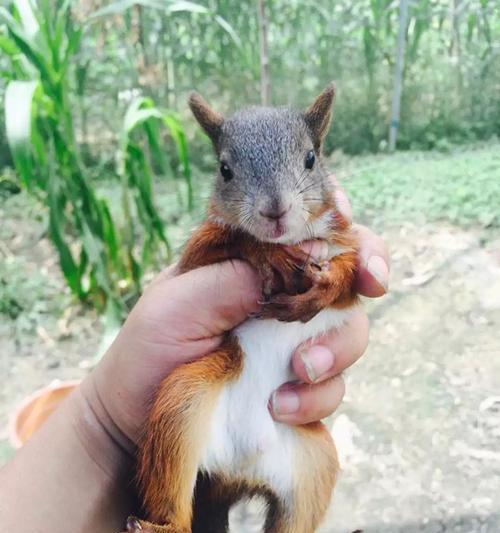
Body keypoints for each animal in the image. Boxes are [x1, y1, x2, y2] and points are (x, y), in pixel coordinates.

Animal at [124, 83, 360, 532]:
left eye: (311, 158)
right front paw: (268, 255)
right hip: (181, 406)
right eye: (224, 170)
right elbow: (231, 241)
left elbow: (352, 278)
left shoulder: (347, 246)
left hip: (316, 464)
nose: (275, 210)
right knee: (175, 502)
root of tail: (239, 472)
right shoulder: (194, 260)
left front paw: (323, 287)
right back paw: (159, 524)